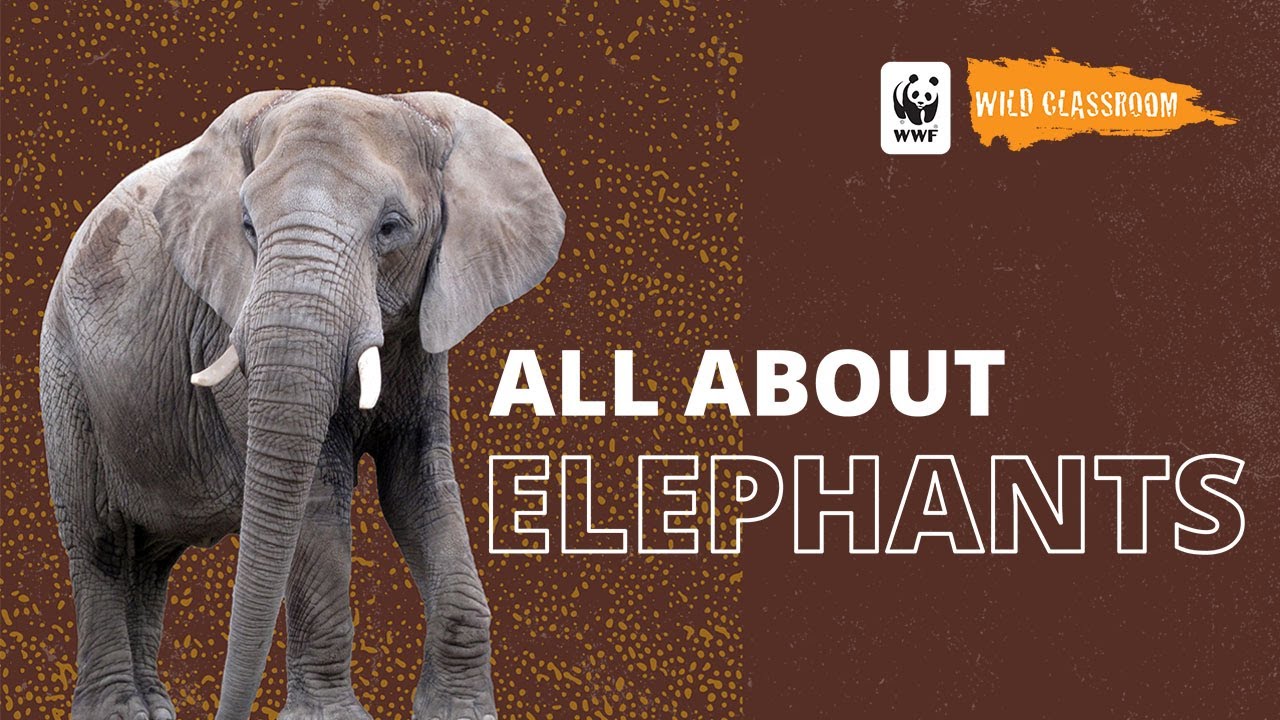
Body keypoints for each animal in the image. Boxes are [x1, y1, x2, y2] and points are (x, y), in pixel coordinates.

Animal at [39, 87, 564, 720]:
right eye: (247, 226)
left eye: (391, 227)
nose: (227, 712)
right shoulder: (224, 327)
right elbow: (316, 490)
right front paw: (331, 717)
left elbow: (420, 485)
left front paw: (462, 712)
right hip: (66, 371)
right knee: (101, 541)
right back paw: (120, 709)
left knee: (151, 561)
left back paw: (156, 708)